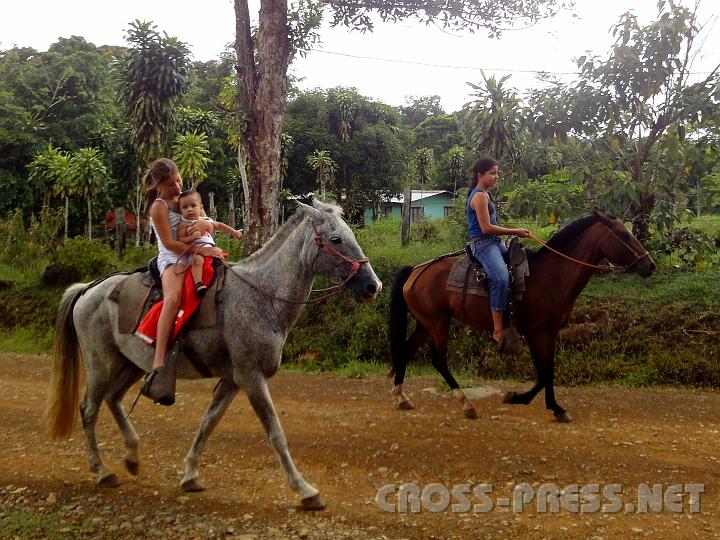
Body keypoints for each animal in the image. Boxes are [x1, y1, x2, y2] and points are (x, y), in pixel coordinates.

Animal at [45, 201, 382, 510]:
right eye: (336, 239)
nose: (372, 286)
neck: (261, 296)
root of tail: (89, 288)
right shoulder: (251, 377)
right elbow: (275, 433)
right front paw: (305, 490)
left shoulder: (232, 380)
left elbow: (208, 422)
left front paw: (190, 475)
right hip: (101, 364)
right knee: (89, 408)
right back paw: (103, 471)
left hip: (130, 365)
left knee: (113, 399)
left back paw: (132, 457)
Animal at [390, 211, 656, 422]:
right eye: (623, 235)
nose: (650, 265)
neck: (552, 276)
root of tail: (415, 270)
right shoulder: (536, 332)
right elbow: (544, 372)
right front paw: (523, 399)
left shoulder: (550, 332)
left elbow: (548, 370)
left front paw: (549, 405)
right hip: (438, 323)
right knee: (439, 361)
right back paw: (466, 405)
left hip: (425, 323)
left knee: (405, 351)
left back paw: (402, 398)